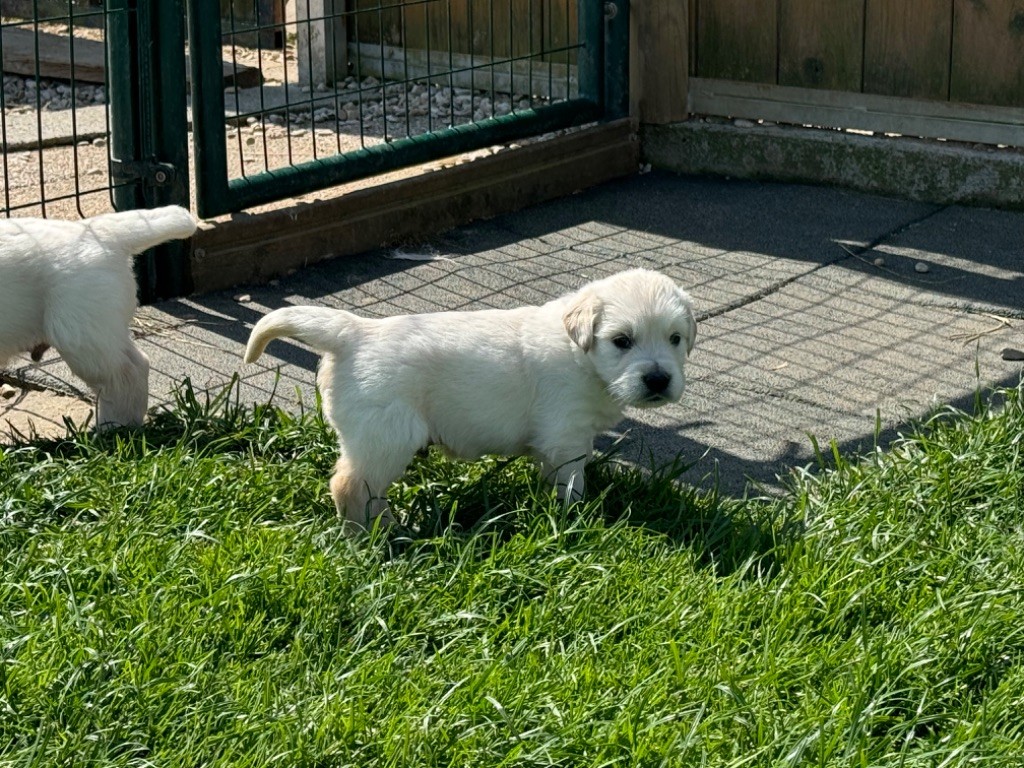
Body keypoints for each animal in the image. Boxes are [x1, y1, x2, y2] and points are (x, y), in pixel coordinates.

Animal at [244, 268, 696, 528]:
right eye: (622, 341)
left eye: (675, 338)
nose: (658, 379)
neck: (580, 355)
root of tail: (354, 332)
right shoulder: (564, 432)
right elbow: (572, 478)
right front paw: (577, 515)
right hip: (386, 435)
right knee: (349, 486)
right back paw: (373, 535)